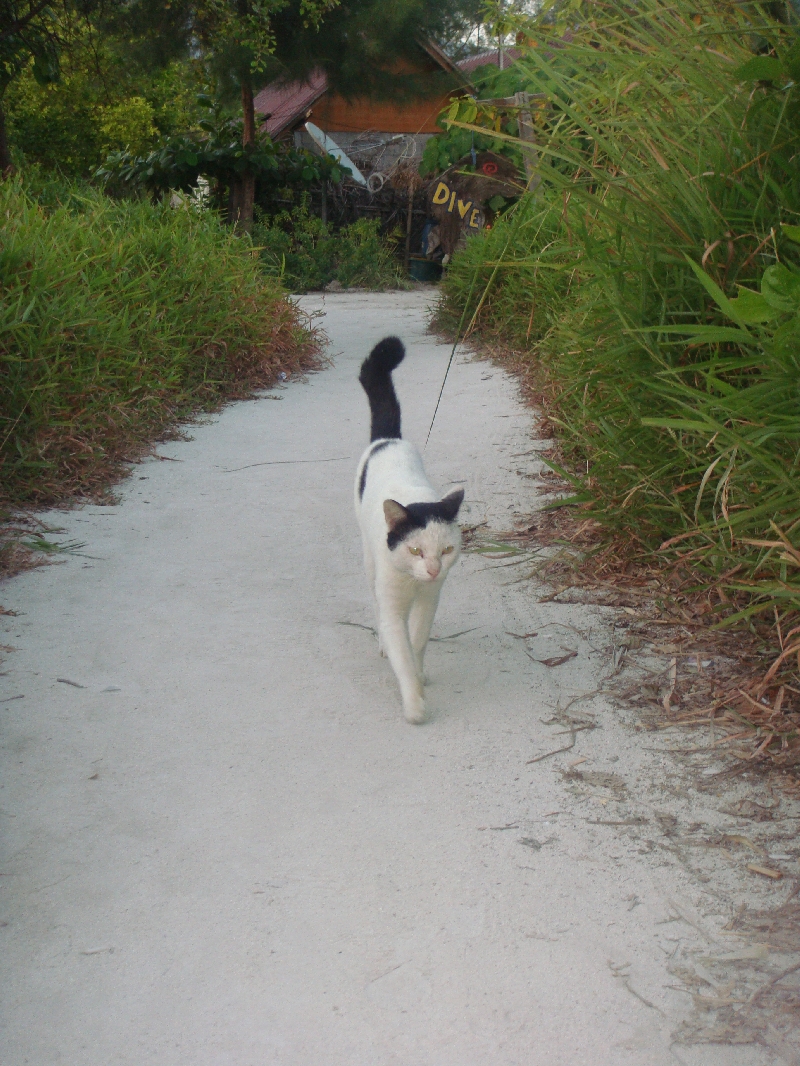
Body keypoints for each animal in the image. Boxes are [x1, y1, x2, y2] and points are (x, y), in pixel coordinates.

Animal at [356, 336, 462, 729]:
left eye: (446, 550)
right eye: (415, 550)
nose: (432, 569)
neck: (415, 584)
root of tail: (388, 439)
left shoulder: (431, 599)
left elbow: (417, 642)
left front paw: (420, 674)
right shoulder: (392, 601)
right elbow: (401, 649)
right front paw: (414, 704)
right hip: (369, 561)